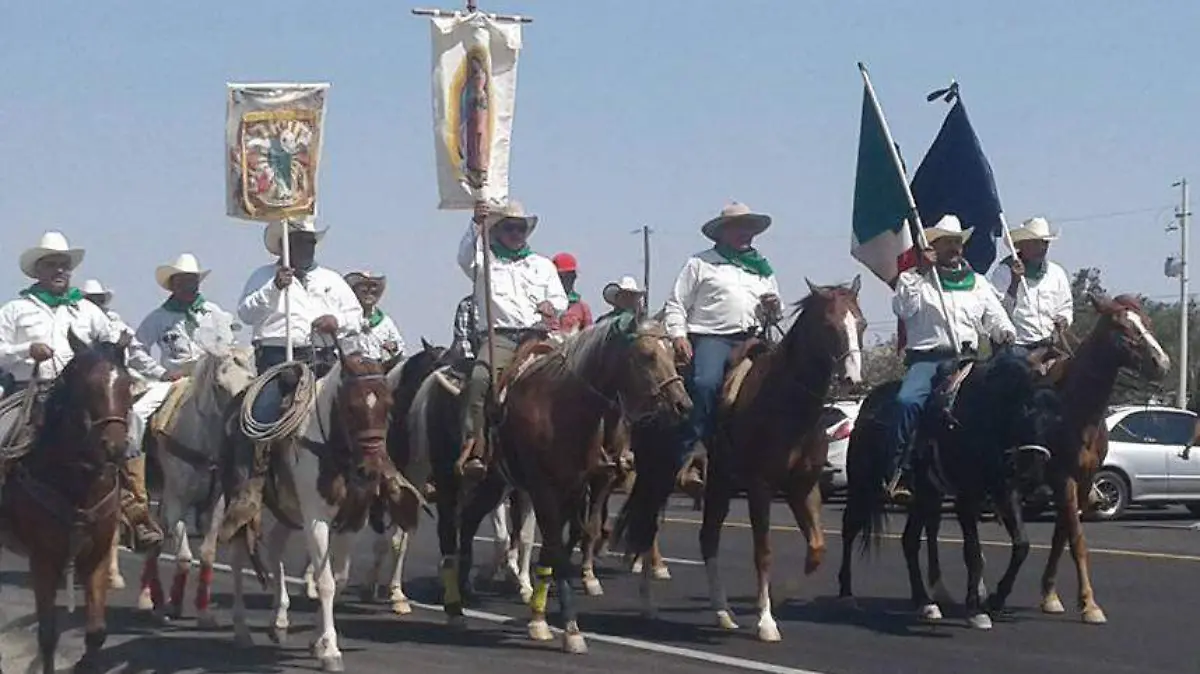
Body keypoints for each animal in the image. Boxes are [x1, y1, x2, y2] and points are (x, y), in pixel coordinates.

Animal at [0, 331, 133, 671]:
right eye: (87, 385)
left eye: (128, 383)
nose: (115, 447)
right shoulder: (43, 559)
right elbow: (47, 636)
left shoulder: (97, 556)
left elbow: (96, 633)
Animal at [220, 347, 398, 666]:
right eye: (351, 407)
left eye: (388, 406)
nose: (371, 472)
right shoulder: (316, 520)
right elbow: (324, 581)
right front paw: (330, 649)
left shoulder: (352, 521)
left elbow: (339, 579)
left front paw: (318, 639)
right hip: (240, 500)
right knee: (238, 559)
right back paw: (241, 630)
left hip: (288, 511)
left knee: (276, 546)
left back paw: (278, 618)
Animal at [700, 274, 868, 638]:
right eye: (828, 325)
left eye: (860, 323)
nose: (852, 379)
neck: (787, 405)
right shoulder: (760, 487)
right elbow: (763, 552)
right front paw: (766, 621)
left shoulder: (803, 486)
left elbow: (817, 545)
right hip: (712, 480)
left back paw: (723, 613)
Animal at [840, 340, 1065, 628]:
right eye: (1025, 410)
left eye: (1057, 419)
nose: (1039, 489)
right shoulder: (966, 497)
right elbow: (972, 552)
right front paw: (976, 610)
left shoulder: (1006, 492)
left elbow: (1022, 546)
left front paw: (995, 601)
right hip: (862, 487)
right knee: (850, 529)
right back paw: (847, 595)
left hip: (925, 497)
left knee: (909, 541)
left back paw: (925, 602)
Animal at [1036, 291, 1166, 623]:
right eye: (1121, 327)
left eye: (1146, 322)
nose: (1162, 362)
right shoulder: (1063, 478)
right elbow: (1077, 540)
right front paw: (1090, 604)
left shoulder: (1083, 480)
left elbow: (1062, 536)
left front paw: (1051, 595)